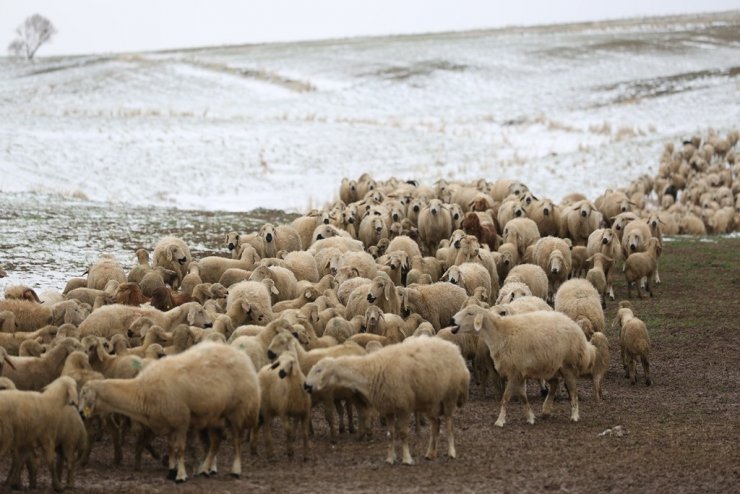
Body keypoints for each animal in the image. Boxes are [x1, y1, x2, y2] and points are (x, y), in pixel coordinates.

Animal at [79, 342, 260, 480]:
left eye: (84, 394)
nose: (80, 413)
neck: (142, 392)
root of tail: (241, 357)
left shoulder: (180, 420)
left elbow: (179, 449)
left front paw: (181, 475)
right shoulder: (169, 422)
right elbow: (171, 447)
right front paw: (172, 470)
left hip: (236, 412)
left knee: (235, 441)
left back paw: (235, 470)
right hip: (214, 416)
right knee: (215, 443)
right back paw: (205, 469)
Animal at [302, 336, 468, 464]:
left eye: (319, 370)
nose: (306, 386)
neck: (370, 371)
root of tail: (455, 350)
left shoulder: (403, 406)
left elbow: (403, 434)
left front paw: (407, 459)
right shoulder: (388, 408)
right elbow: (390, 434)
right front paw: (390, 458)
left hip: (449, 397)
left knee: (448, 424)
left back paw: (451, 452)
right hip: (430, 402)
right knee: (435, 425)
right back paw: (430, 453)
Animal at [450, 304, 600, 424]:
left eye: (470, 313)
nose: (451, 319)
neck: (500, 334)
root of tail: (577, 329)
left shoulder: (514, 372)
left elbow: (505, 397)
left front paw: (500, 420)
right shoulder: (519, 373)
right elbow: (523, 398)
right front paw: (530, 417)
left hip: (567, 365)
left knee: (573, 391)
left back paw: (574, 416)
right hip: (549, 366)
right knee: (555, 384)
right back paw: (546, 410)